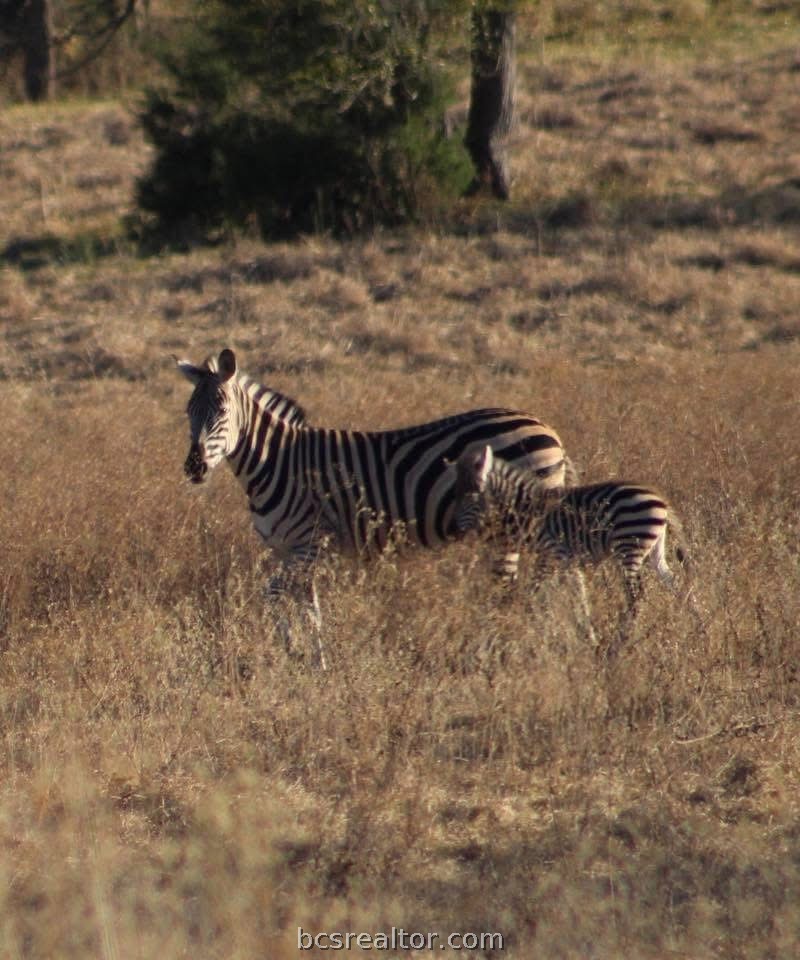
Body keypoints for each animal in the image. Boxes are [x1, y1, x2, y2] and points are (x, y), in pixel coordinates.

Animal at [176, 348, 569, 669]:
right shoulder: (289, 551)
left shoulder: (309, 544)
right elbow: (308, 608)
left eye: (222, 411)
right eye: (188, 412)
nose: (193, 467)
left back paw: (494, 656)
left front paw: (293, 652)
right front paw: (315, 662)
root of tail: (547, 428)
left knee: (516, 594)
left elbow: (272, 595)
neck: (276, 462)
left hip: (515, 526)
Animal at [454, 444, 688, 654]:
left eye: (470, 497)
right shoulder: (566, 561)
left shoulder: (551, 554)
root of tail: (661, 499)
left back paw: (621, 643)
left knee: (636, 595)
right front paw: (585, 636)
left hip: (629, 545)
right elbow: (577, 594)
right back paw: (693, 622)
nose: (457, 533)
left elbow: (535, 593)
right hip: (654, 550)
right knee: (675, 583)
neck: (529, 512)